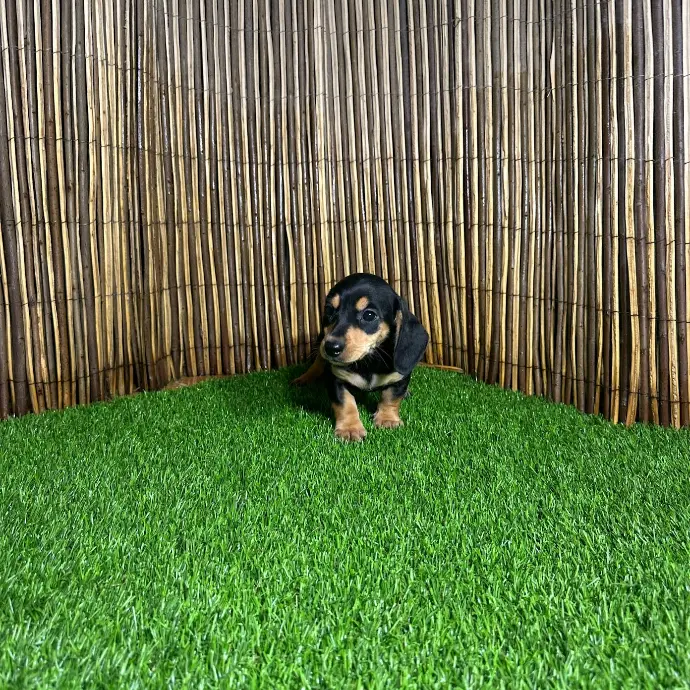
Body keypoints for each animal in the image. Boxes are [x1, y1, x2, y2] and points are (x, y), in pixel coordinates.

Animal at [292, 273, 429, 442]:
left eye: (369, 315)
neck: (368, 362)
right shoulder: (336, 378)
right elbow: (345, 404)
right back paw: (304, 378)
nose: (331, 348)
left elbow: (391, 397)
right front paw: (350, 429)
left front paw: (387, 419)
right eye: (329, 310)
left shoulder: (400, 377)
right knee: (318, 362)